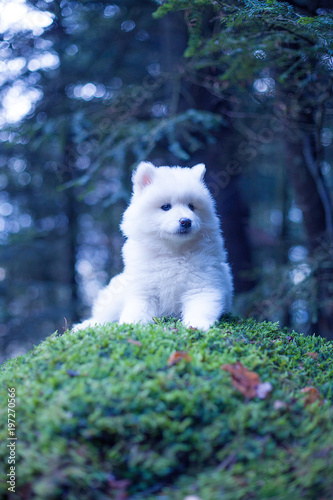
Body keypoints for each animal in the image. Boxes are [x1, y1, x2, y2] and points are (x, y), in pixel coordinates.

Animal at [74, 161, 232, 332]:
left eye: (192, 206)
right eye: (166, 207)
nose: (186, 221)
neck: (173, 252)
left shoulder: (202, 284)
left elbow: (201, 306)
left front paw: (196, 324)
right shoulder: (144, 289)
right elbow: (137, 309)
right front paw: (131, 325)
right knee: (103, 316)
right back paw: (85, 325)